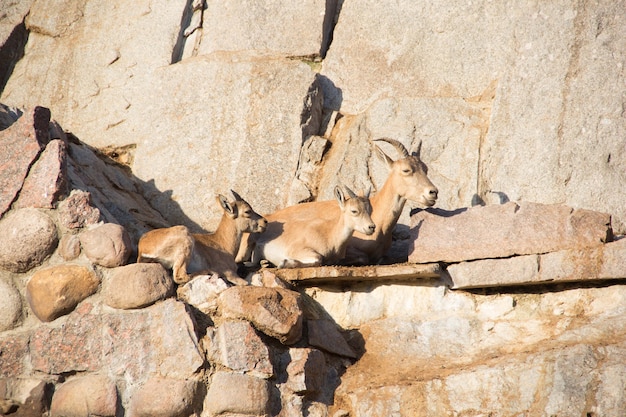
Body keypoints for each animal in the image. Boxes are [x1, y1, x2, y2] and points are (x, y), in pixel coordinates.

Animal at [136, 190, 266, 284]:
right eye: (247, 211)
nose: (264, 222)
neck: (222, 243)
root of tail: (143, 248)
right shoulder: (230, 272)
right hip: (185, 242)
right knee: (180, 276)